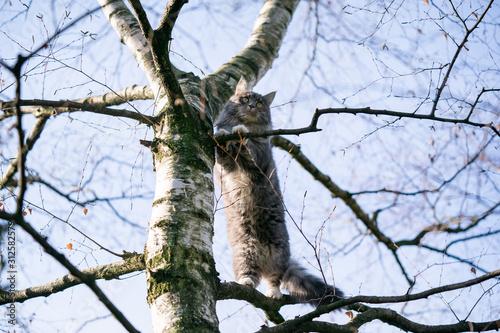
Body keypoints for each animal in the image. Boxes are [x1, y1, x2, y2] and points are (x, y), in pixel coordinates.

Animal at [213, 76, 342, 304]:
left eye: (260, 103)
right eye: (244, 99)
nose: (251, 106)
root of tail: (263, 255)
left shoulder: (259, 162)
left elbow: (247, 150)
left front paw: (240, 135)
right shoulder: (225, 167)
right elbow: (224, 151)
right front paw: (226, 135)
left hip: (279, 253)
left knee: (274, 279)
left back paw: (273, 293)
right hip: (245, 252)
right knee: (251, 276)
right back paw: (246, 281)